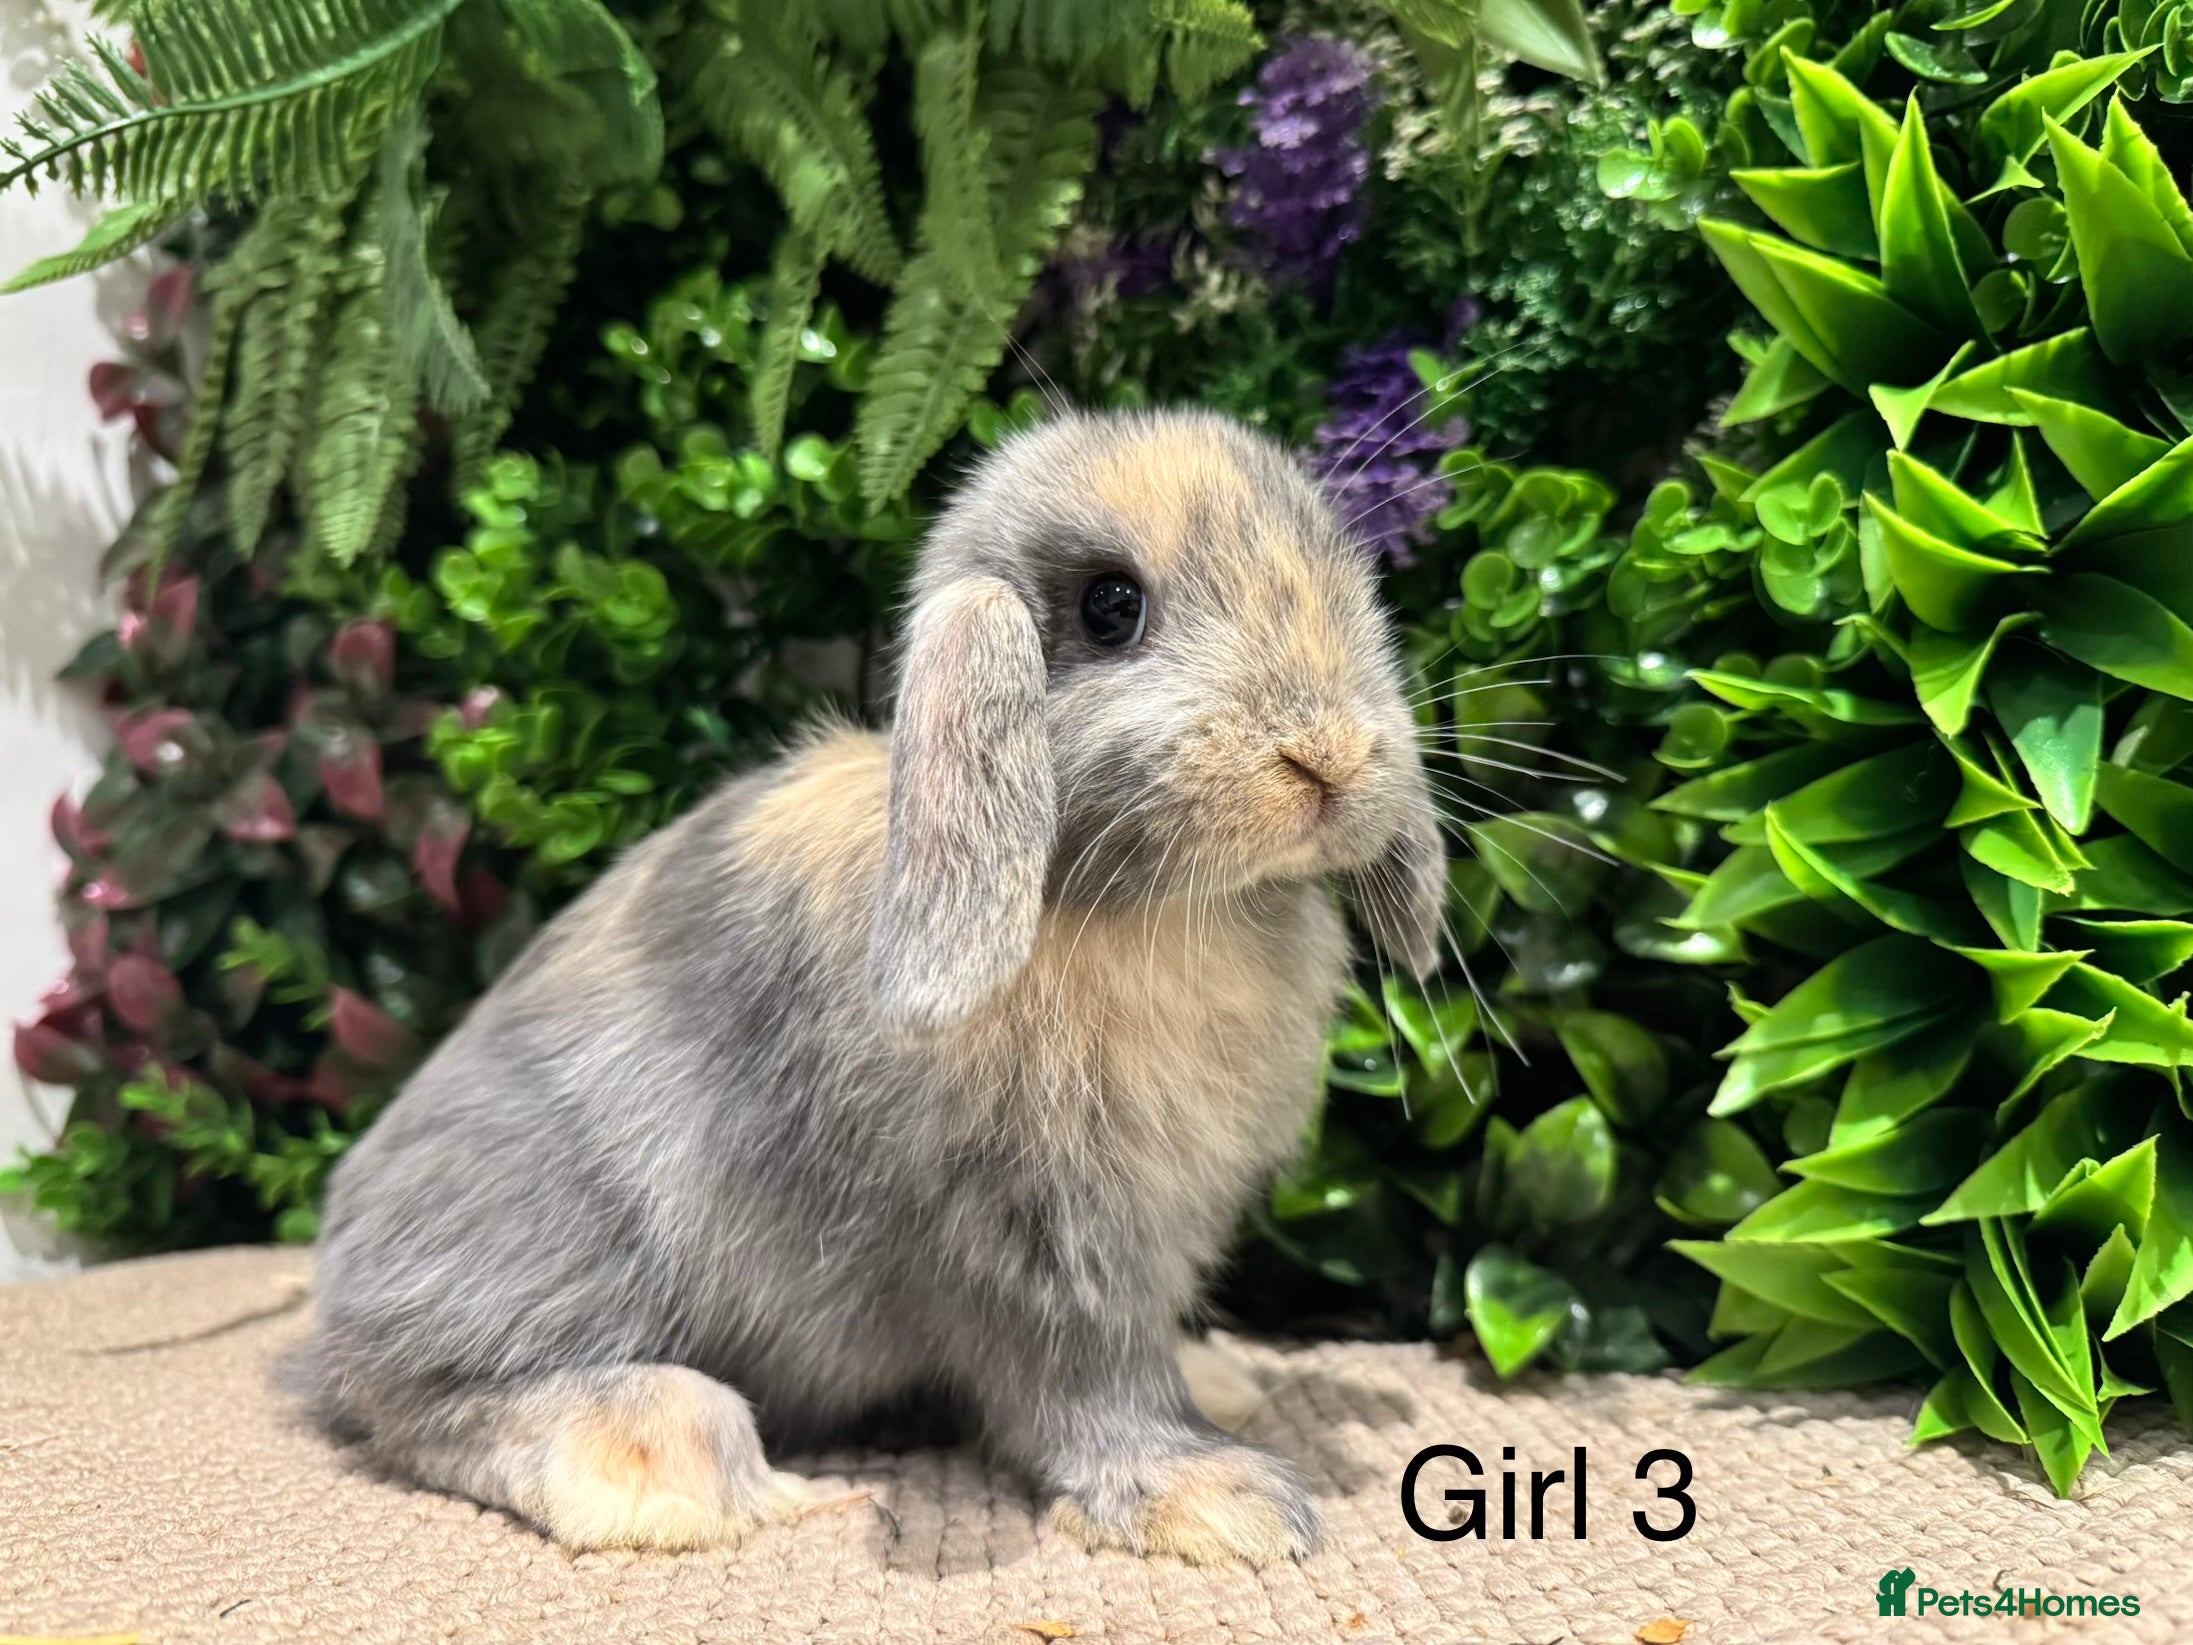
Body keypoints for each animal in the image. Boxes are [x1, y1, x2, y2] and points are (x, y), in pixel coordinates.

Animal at [295, 406, 1444, 1567]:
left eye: (1340, 573)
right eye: (1111, 606)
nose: (1328, 755)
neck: (1117, 901)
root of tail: (343, 1245)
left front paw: (1212, 1401)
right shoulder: (1032, 1238)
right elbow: (1088, 1381)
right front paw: (1211, 1499)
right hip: (536, 1246)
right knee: (423, 1399)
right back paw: (668, 1466)